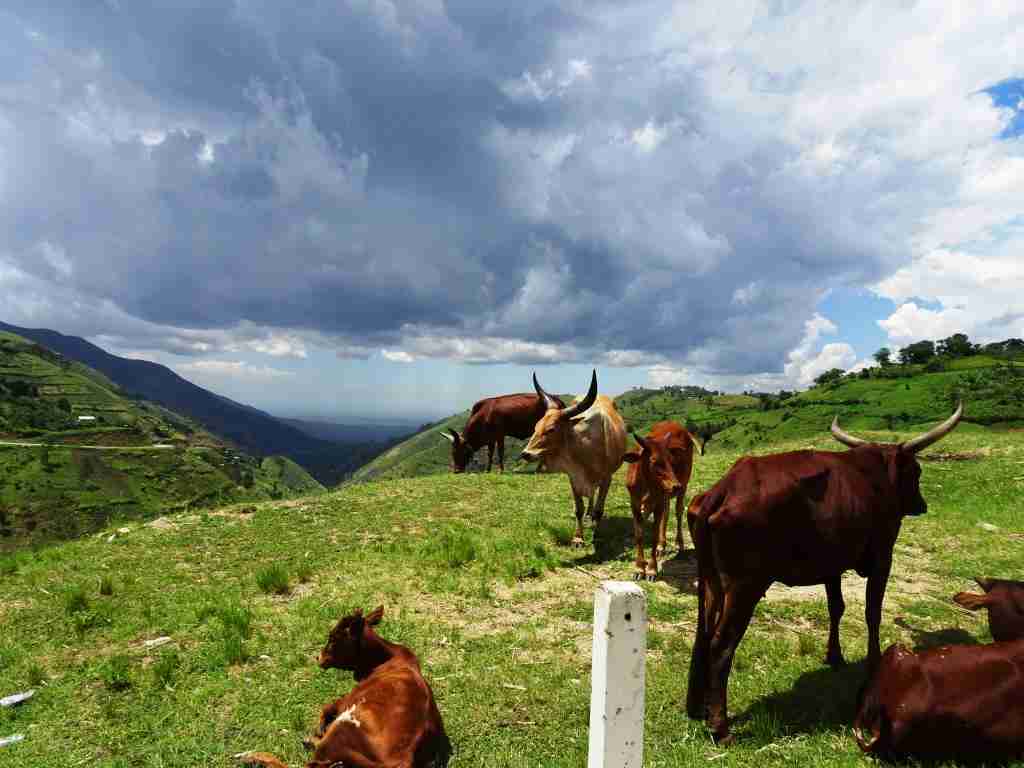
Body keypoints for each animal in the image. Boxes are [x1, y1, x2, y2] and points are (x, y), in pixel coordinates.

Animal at [241, 606, 450, 768]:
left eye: (333, 638)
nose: (318, 657)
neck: (387, 658)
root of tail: (402, 760)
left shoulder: (348, 699)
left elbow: (326, 707)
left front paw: (319, 728)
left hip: (342, 726)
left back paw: (252, 756)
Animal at [524, 370, 626, 548]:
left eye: (551, 429)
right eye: (536, 426)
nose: (526, 453)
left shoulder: (607, 478)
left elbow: (600, 510)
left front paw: (596, 533)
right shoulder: (573, 477)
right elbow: (578, 509)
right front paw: (578, 538)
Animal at [618, 423, 700, 581]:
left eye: (671, 459)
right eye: (654, 461)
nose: (675, 485)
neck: (647, 485)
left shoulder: (658, 502)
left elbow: (654, 536)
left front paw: (651, 570)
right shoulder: (634, 504)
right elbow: (639, 535)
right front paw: (639, 568)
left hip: (684, 485)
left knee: (678, 511)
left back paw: (679, 545)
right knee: (666, 514)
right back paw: (662, 546)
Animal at [688, 403, 958, 745]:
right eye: (917, 472)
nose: (921, 505)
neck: (877, 477)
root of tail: (723, 488)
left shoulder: (831, 566)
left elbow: (836, 607)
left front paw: (834, 656)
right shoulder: (883, 558)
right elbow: (872, 612)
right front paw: (872, 663)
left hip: (710, 582)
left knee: (703, 634)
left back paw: (698, 709)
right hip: (744, 587)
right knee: (720, 645)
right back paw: (720, 727)